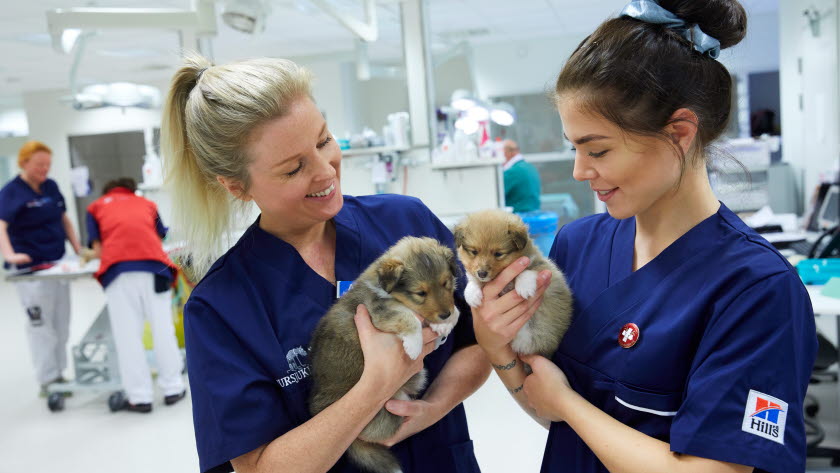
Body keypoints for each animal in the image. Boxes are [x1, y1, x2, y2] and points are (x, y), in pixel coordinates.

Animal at [308, 236, 460, 473]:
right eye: (420, 293)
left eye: (446, 283)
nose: (444, 314)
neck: (388, 291)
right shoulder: (378, 311)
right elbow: (409, 317)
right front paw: (414, 345)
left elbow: (456, 312)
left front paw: (445, 325)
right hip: (386, 414)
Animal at [454, 209, 572, 358]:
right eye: (474, 252)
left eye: (498, 254)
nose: (482, 273)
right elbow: (472, 281)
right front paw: (472, 295)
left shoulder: (544, 266)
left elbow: (529, 269)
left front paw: (525, 286)